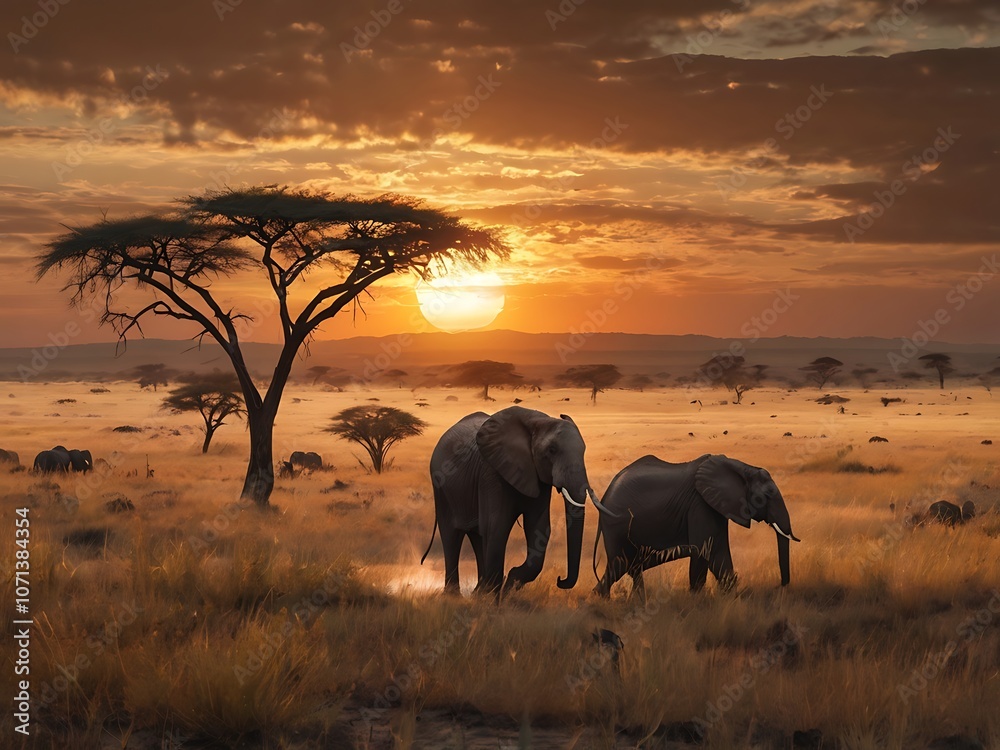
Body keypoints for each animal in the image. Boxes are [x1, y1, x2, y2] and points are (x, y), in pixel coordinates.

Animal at [422, 406, 615, 597]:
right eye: (552, 450)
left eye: (584, 451)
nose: (560, 579)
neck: (538, 421)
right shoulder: (492, 473)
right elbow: (497, 525)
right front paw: (494, 596)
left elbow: (538, 526)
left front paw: (509, 583)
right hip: (441, 488)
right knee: (452, 534)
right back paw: (454, 596)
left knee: (477, 534)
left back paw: (477, 591)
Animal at [594, 454, 799, 599]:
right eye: (768, 495)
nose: (779, 586)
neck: (743, 467)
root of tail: (604, 496)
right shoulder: (700, 504)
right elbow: (704, 550)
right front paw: (697, 601)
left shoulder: (715, 506)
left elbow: (719, 552)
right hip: (617, 526)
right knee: (620, 565)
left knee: (629, 569)